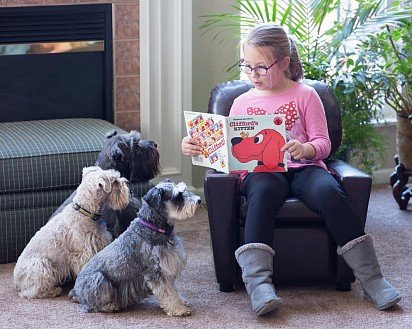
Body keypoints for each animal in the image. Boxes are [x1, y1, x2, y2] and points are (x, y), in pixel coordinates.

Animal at [14, 167, 130, 298]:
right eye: (114, 180)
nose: (127, 182)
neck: (85, 211)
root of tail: (16, 282)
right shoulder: (84, 254)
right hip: (41, 265)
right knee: (32, 292)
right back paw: (53, 290)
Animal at [68, 179, 202, 316]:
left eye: (184, 190)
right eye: (177, 196)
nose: (199, 200)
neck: (152, 226)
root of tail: (75, 290)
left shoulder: (166, 268)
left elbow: (173, 289)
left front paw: (180, 301)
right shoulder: (156, 271)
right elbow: (168, 292)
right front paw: (178, 309)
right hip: (99, 280)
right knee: (92, 304)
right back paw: (109, 306)